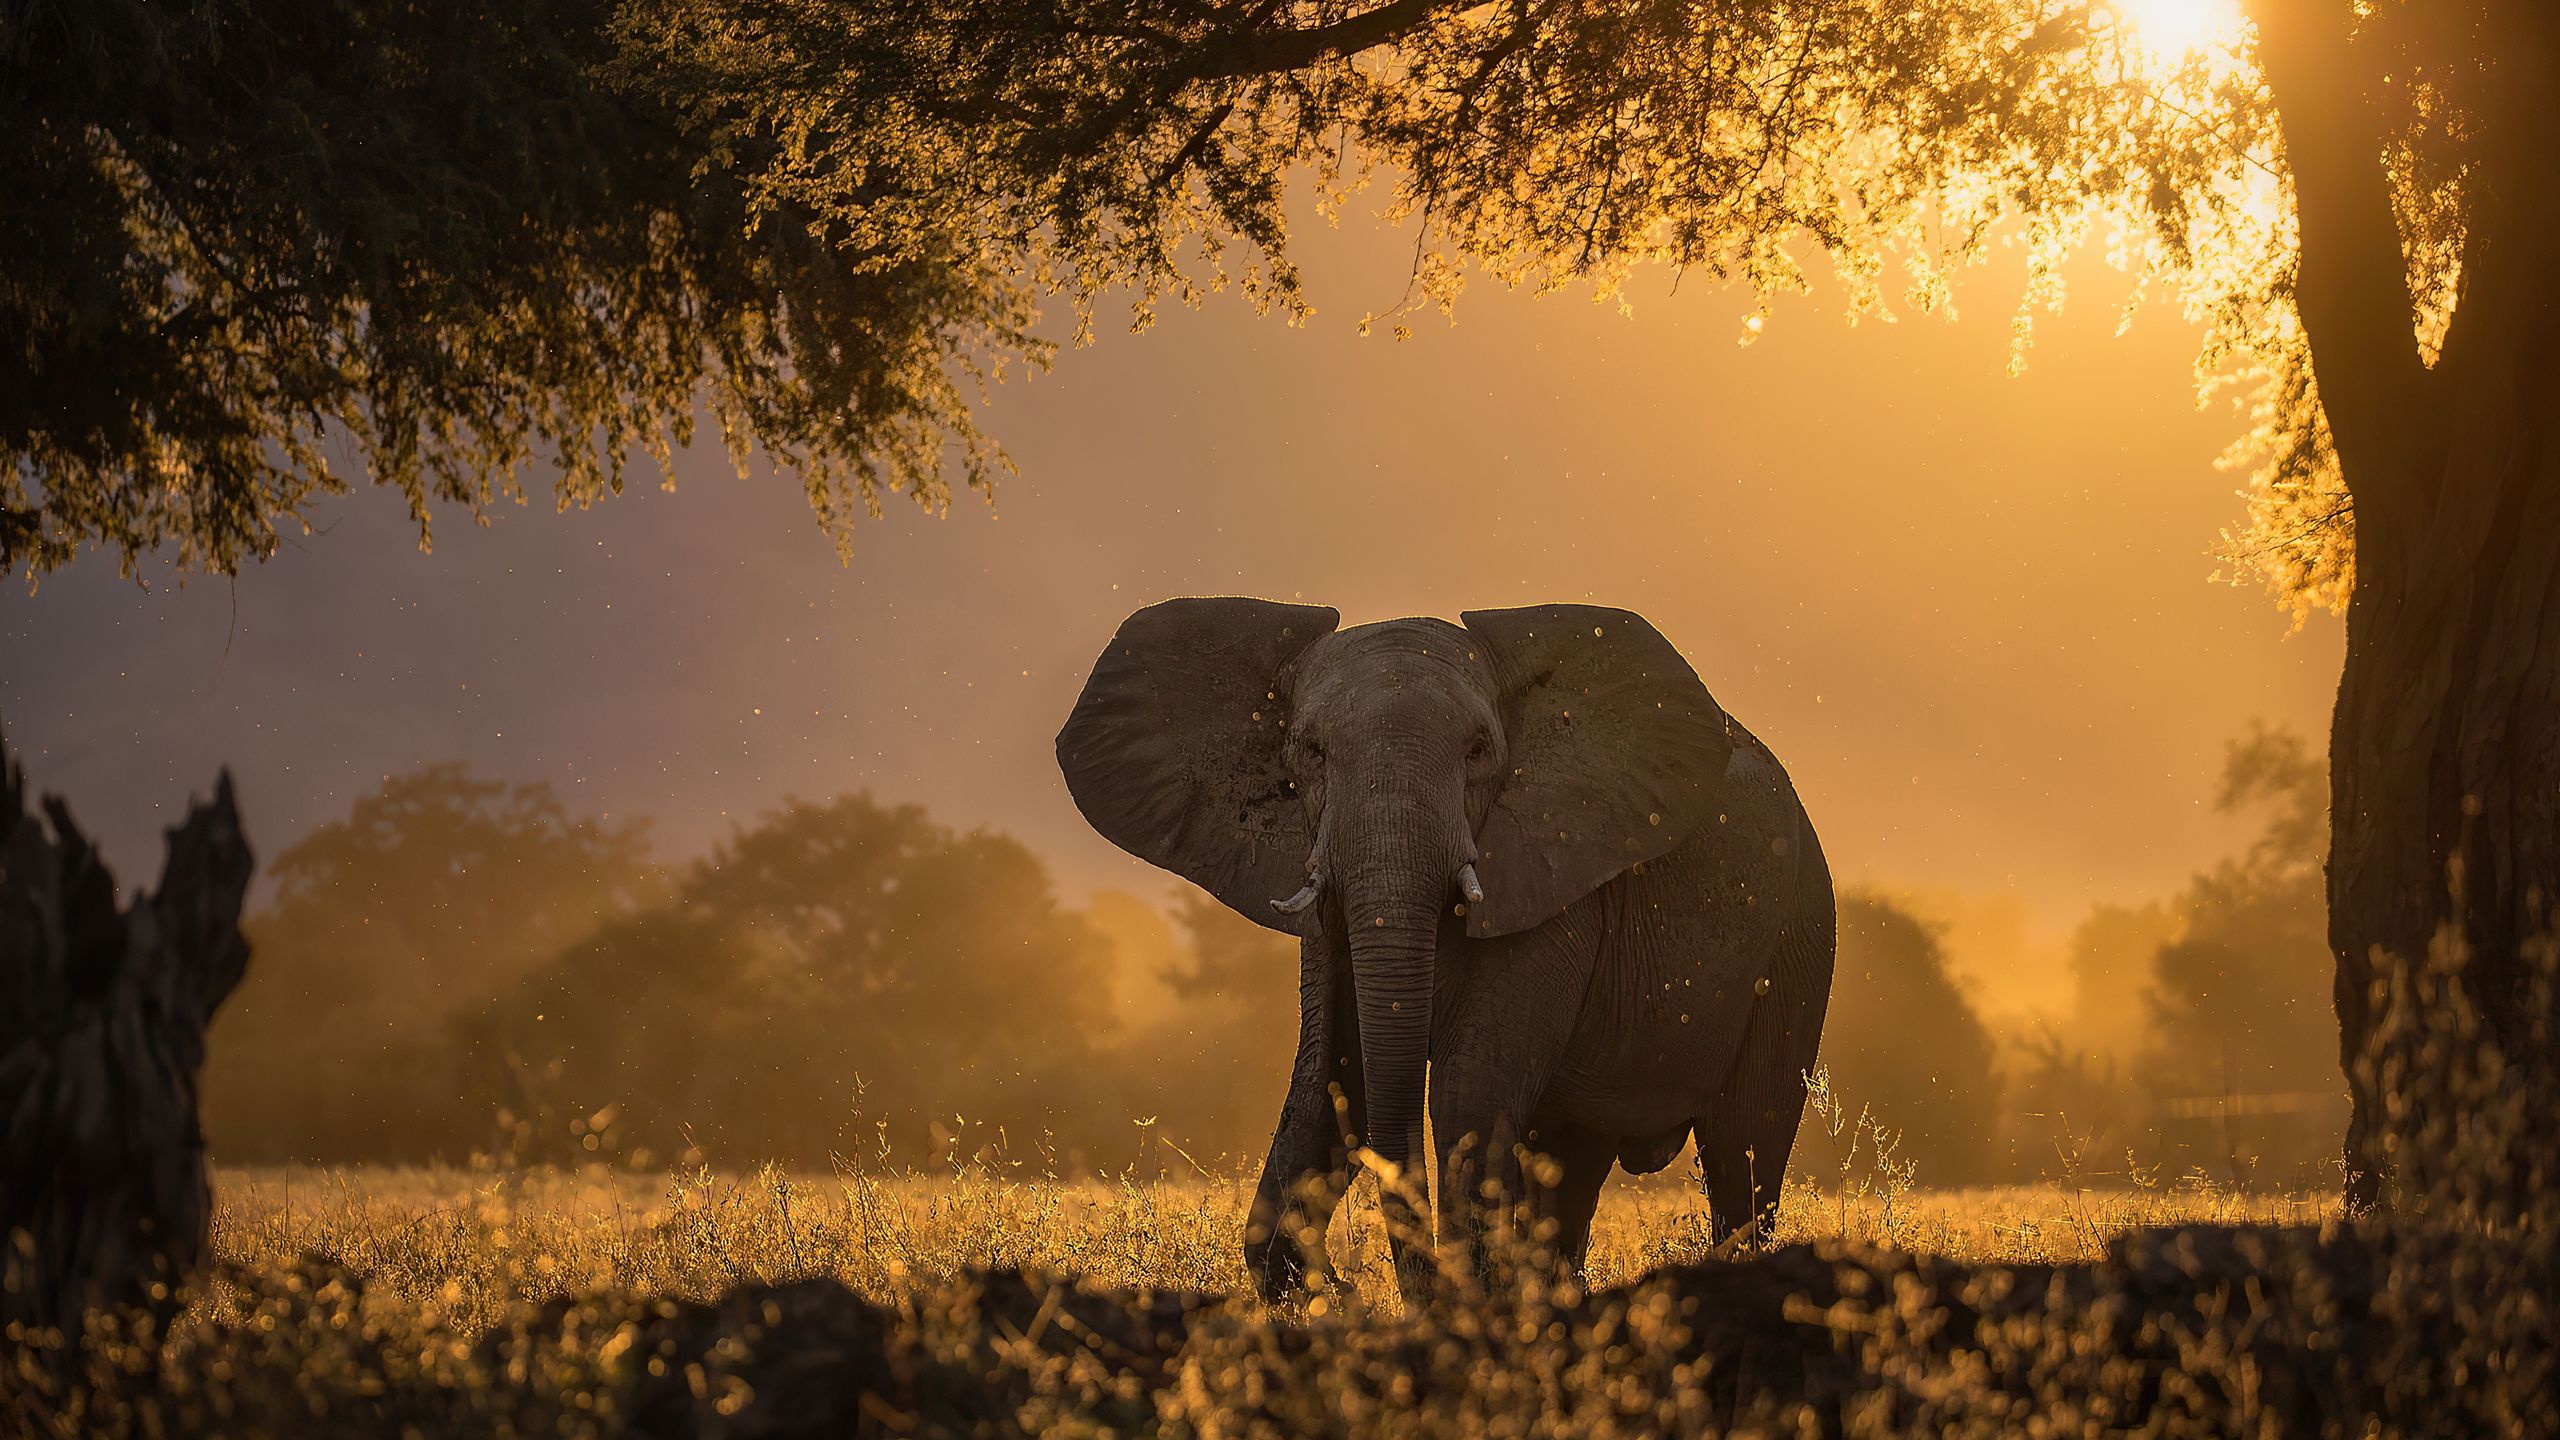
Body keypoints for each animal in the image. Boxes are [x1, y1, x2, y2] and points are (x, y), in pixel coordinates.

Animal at [1049, 594, 1832, 1301]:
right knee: (1572, 1158)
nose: (1345, 1284)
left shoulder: (1550, 880)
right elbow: (1334, 1074)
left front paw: (1465, 1296)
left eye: (1479, 752)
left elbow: (1467, 1090)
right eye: (1310, 753)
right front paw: (1310, 1289)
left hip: (1799, 932)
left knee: (1744, 1150)